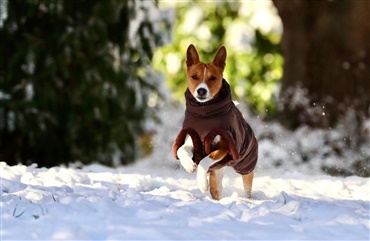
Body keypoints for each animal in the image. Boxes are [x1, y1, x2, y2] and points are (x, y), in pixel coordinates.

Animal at [172, 44, 258, 201]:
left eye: (212, 78)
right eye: (194, 77)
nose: (201, 90)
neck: (205, 115)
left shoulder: (224, 147)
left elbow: (205, 160)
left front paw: (201, 183)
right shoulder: (192, 141)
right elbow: (181, 149)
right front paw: (189, 165)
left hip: (246, 167)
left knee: (247, 188)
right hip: (217, 174)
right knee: (216, 191)